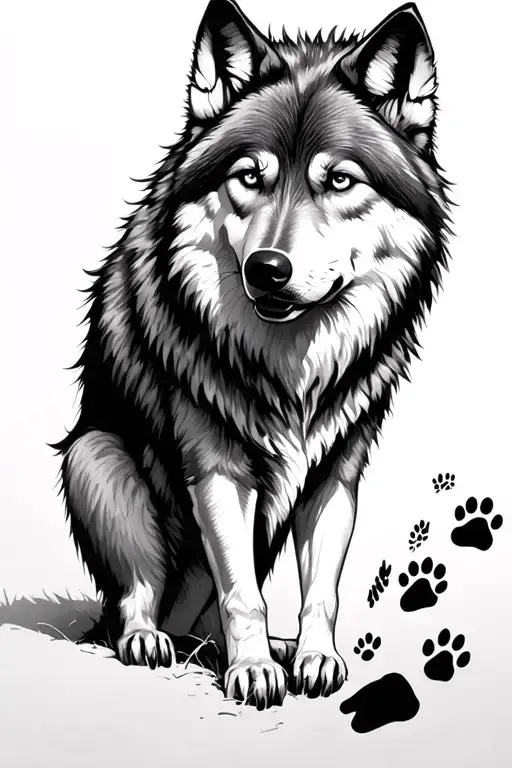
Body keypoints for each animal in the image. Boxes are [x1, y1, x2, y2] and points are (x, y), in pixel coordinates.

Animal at [52, 0, 451, 710]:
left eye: (339, 180)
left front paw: (314, 659)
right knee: (139, 601)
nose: (267, 270)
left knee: (208, 621)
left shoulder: (336, 473)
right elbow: (243, 593)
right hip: (94, 456)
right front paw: (254, 670)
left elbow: (320, 591)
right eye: (249, 177)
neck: (290, 368)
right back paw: (150, 640)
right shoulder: (216, 468)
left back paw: (277, 649)